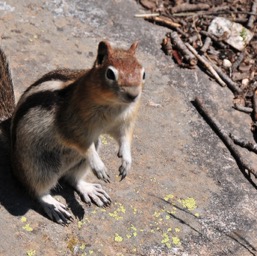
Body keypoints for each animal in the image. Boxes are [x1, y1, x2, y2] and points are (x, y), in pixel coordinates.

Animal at [0, 41, 144, 223]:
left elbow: (125, 139)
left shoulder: (124, 123)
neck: (114, 106)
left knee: (72, 179)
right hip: (37, 164)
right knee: (36, 189)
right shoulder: (70, 125)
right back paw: (52, 205)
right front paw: (99, 166)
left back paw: (89, 190)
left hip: (85, 153)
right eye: (110, 74)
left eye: (143, 73)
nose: (133, 95)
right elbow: (82, 145)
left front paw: (126, 161)